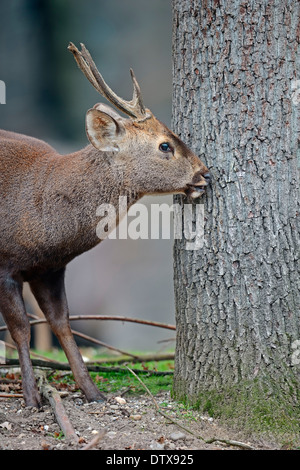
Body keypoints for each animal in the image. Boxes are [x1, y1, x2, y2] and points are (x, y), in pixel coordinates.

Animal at [0, 42, 211, 406]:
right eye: (165, 145)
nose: (204, 174)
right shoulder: (4, 264)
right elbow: (21, 330)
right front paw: (31, 398)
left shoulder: (49, 268)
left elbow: (62, 324)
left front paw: (93, 393)